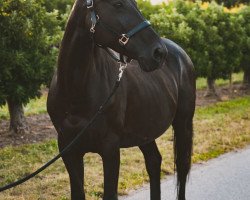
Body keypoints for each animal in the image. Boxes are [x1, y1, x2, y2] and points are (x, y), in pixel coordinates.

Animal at [47, 0, 195, 200]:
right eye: (118, 4)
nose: (158, 52)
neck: (75, 95)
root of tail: (180, 53)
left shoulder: (110, 149)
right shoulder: (69, 151)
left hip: (183, 123)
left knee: (181, 166)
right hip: (145, 130)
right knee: (154, 162)